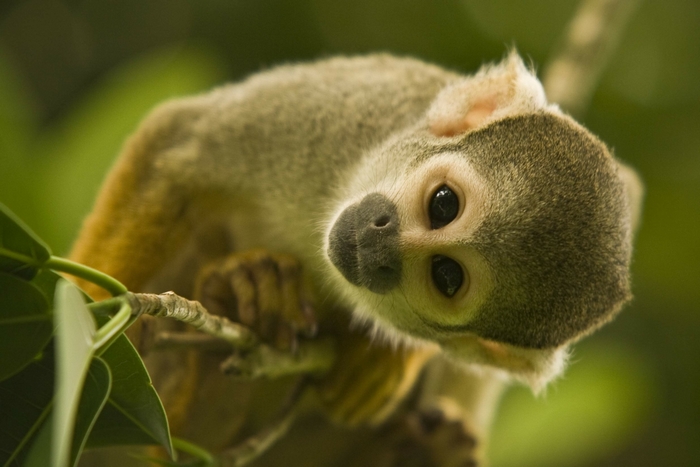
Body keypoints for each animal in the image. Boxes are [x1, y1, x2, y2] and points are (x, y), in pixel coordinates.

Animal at [70, 52, 642, 466]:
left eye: (447, 276)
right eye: (444, 203)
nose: (378, 245)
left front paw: (383, 359)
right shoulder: (353, 112)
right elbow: (177, 145)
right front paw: (88, 329)